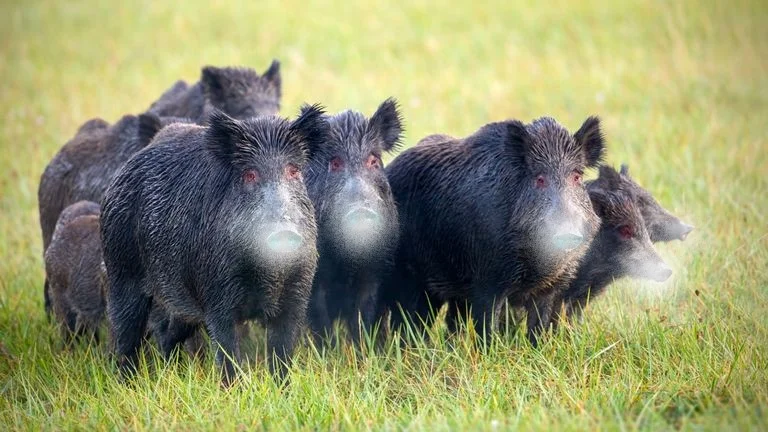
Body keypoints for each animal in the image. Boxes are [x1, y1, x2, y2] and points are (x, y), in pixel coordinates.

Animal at [100, 107, 327, 385]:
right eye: (249, 174)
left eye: (293, 171)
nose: (284, 231)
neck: (268, 273)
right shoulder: (217, 296)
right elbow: (228, 355)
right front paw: (234, 389)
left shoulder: (296, 296)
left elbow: (282, 356)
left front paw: (282, 389)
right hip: (122, 272)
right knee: (126, 336)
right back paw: (127, 383)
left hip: (178, 302)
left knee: (167, 334)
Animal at [305, 98, 403, 345]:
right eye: (335, 163)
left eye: (373, 160)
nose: (361, 210)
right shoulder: (315, 278)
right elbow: (320, 321)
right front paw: (329, 352)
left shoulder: (375, 270)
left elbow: (363, 317)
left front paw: (365, 351)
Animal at [380, 116, 605, 345]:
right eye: (540, 179)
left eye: (577, 177)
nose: (567, 232)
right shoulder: (487, 280)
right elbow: (488, 328)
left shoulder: (550, 288)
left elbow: (538, 329)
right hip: (409, 277)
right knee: (408, 322)